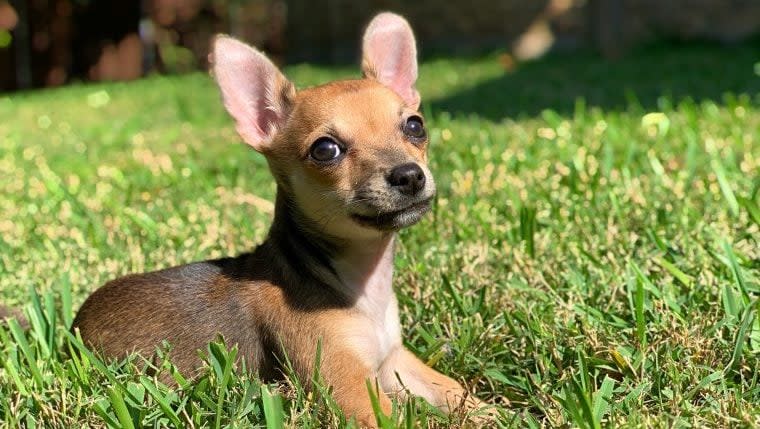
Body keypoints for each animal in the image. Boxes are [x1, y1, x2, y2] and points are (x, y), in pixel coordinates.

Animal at [72, 11, 486, 426]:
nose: (410, 175)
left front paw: (489, 412)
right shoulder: (348, 386)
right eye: (325, 150)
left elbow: (455, 391)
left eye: (416, 126)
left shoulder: (395, 362)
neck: (363, 286)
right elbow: (394, 417)